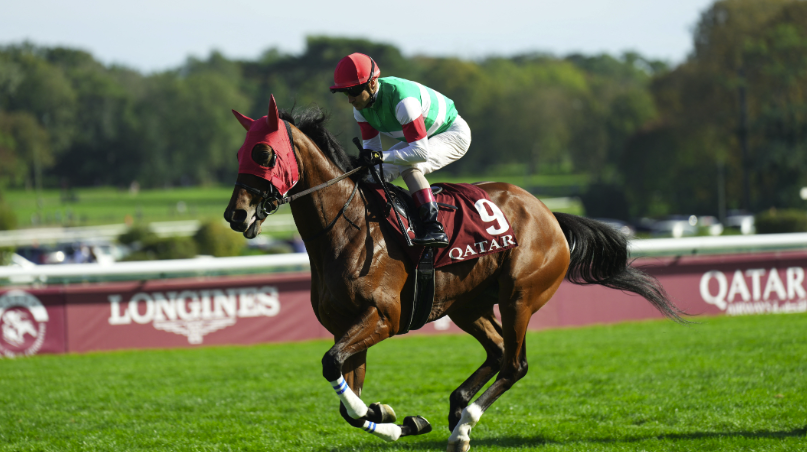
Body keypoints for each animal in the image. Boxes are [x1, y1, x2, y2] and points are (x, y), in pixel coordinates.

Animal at [224, 97, 684, 450]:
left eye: (263, 153)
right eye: (239, 153)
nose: (236, 214)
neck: (346, 230)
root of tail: (548, 213)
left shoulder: (382, 318)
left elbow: (330, 365)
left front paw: (396, 420)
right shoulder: (347, 326)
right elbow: (345, 398)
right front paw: (391, 417)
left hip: (519, 296)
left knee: (514, 364)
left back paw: (463, 426)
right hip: (467, 304)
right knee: (497, 351)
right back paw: (457, 404)